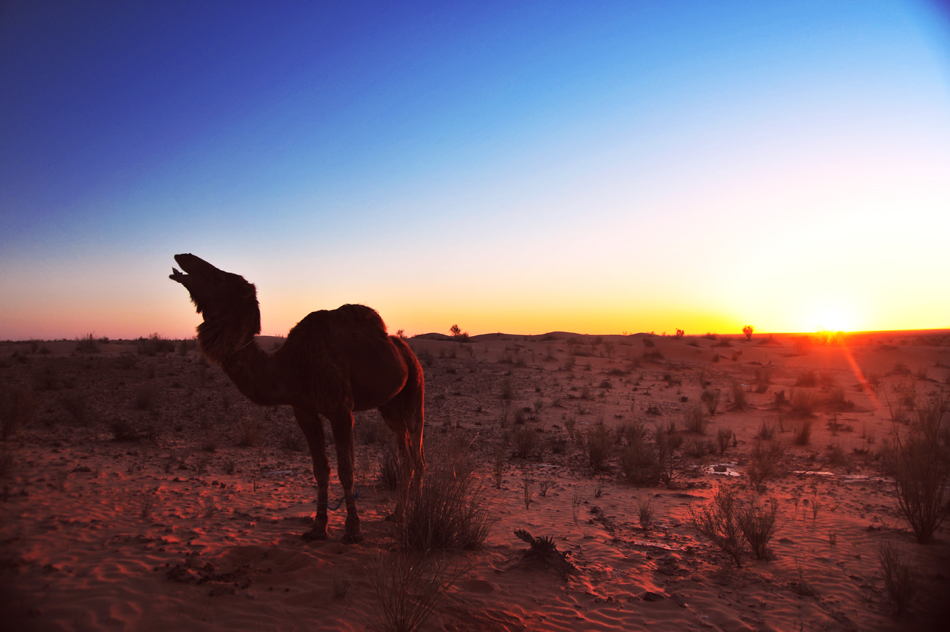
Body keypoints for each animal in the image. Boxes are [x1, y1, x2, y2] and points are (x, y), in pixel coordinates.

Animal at [169, 253, 426, 544]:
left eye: (219, 277)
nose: (183, 257)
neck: (292, 366)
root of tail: (404, 349)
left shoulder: (340, 409)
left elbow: (346, 470)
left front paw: (353, 530)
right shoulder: (303, 410)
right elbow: (320, 469)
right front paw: (318, 529)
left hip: (414, 389)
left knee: (417, 449)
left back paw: (416, 514)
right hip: (389, 406)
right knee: (404, 452)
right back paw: (397, 514)